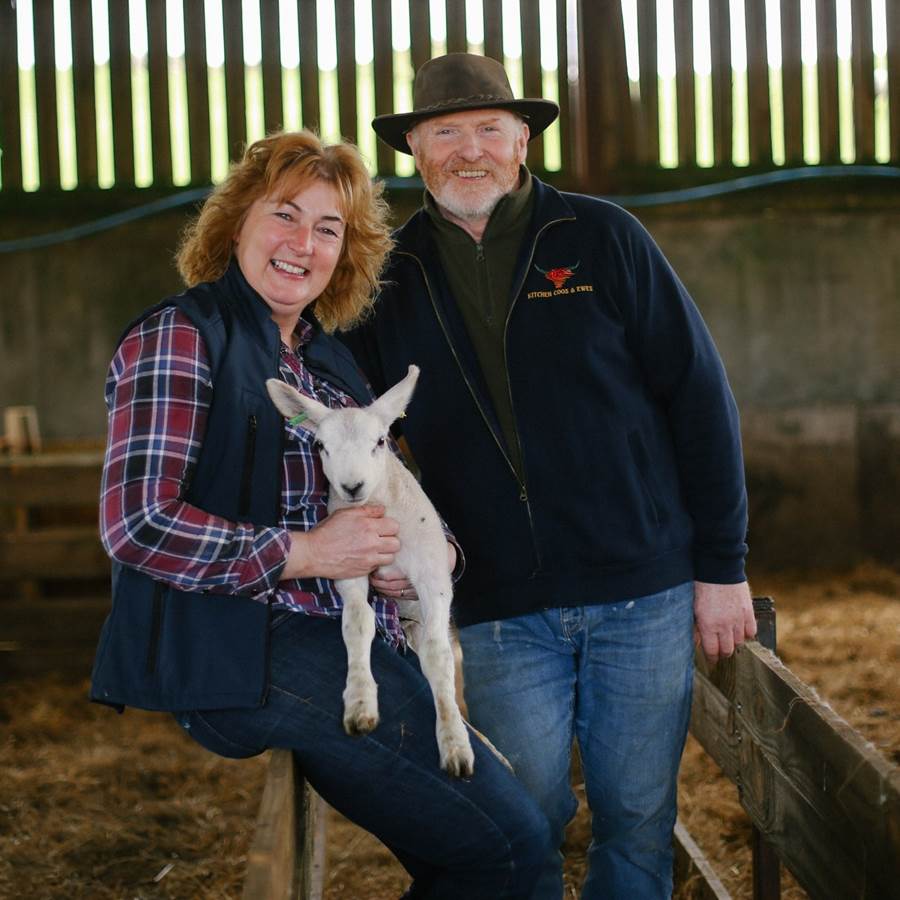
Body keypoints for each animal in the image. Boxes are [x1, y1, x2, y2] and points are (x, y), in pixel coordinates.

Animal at [266, 366, 478, 780]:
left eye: (380, 441)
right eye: (320, 445)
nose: (352, 486)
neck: (379, 504)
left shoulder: (432, 576)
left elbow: (440, 655)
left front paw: (455, 744)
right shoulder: (349, 566)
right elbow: (358, 622)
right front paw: (360, 702)